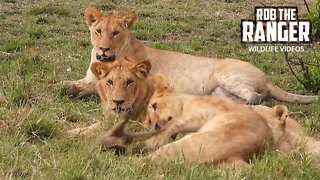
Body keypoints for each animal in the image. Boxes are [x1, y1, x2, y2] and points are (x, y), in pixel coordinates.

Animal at [63, 7, 318, 104]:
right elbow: (77, 81)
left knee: (258, 97)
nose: (103, 49)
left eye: (115, 33)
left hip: (228, 76)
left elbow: (94, 86)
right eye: (98, 31)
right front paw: (66, 85)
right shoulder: (89, 75)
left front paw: (72, 90)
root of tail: (267, 77)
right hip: (219, 89)